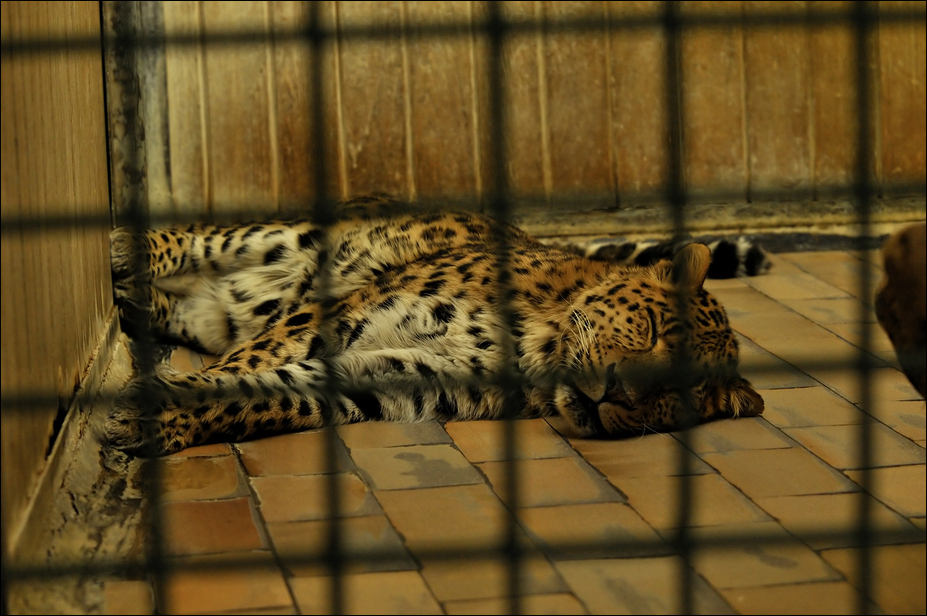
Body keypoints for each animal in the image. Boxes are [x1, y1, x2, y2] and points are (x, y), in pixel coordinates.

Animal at [105, 196, 764, 457]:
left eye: (677, 398)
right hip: (286, 237)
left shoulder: (407, 377)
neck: (533, 350)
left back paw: (135, 302)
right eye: (651, 327)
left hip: (223, 311)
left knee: (187, 308)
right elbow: (247, 369)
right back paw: (124, 248)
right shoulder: (334, 318)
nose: (620, 393)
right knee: (204, 238)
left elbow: (269, 395)